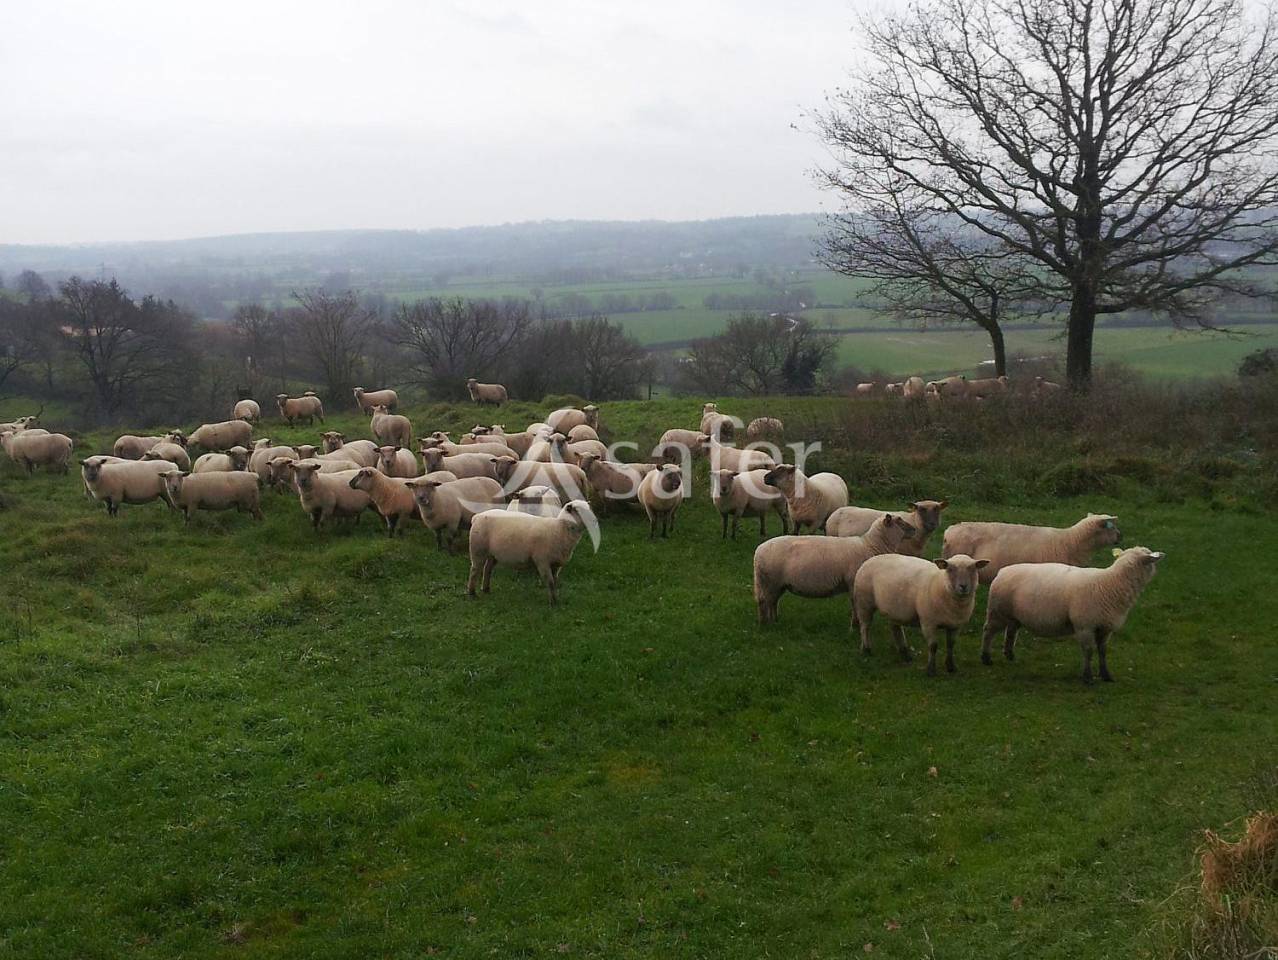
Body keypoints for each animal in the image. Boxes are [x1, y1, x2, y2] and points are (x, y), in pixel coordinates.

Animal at [752, 514, 916, 625]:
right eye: (899, 520)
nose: (915, 529)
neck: (871, 545)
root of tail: (758, 551)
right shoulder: (853, 583)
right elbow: (855, 605)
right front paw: (855, 625)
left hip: (778, 584)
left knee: (772, 601)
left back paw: (775, 620)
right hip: (769, 581)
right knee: (764, 602)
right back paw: (765, 624)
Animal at [853, 554, 989, 675]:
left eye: (973, 569)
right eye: (950, 569)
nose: (963, 586)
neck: (942, 585)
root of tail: (871, 559)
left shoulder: (955, 625)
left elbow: (950, 645)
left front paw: (951, 667)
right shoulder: (928, 622)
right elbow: (933, 646)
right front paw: (931, 670)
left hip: (894, 608)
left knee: (895, 628)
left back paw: (905, 654)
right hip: (864, 602)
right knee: (865, 626)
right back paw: (866, 649)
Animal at [980, 546, 1165, 683]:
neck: (1111, 583)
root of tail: (1002, 571)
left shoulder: (1106, 628)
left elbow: (1103, 651)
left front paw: (1106, 675)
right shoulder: (1084, 626)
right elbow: (1088, 651)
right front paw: (1088, 677)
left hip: (1014, 615)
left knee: (1011, 631)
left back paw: (1009, 655)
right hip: (998, 612)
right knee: (988, 632)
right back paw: (986, 658)